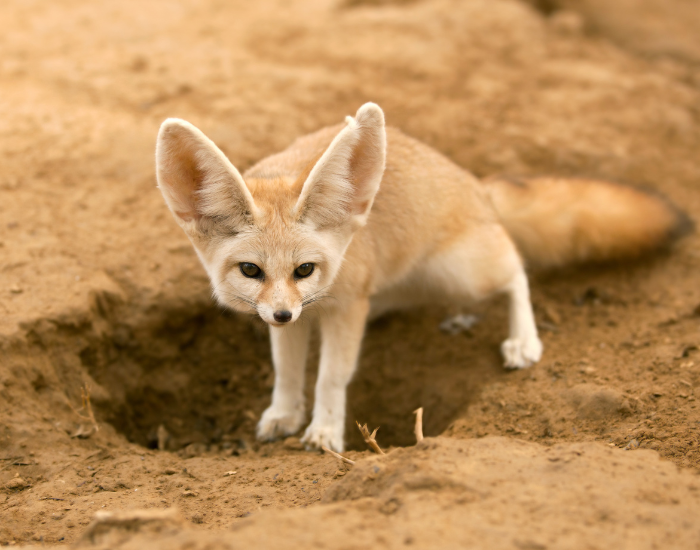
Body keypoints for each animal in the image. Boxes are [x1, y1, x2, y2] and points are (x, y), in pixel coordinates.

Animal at [155, 103, 691, 452]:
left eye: (304, 269)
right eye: (251, 270)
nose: (284, 313)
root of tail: (477, 186)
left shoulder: (346, 308)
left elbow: (331, 375)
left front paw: (325, 431)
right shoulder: (299, 317)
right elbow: (286, 371)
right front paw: (284, 414)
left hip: (463, 270)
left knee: (516, 268)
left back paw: (523, 339)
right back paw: (461, 317)